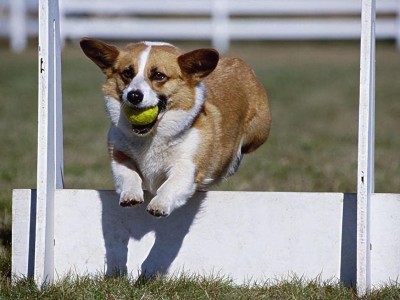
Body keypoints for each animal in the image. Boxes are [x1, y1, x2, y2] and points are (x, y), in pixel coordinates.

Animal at [79, 38, 270, 217]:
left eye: (158, 75)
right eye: (127, 73)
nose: (133, 95)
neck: (151, 136)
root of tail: (238, 62)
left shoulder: (187, 165)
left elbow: (170, 185)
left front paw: (159, 204)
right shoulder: (119, 154)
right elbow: (128, 174)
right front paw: (131, 196)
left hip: (257, 134)